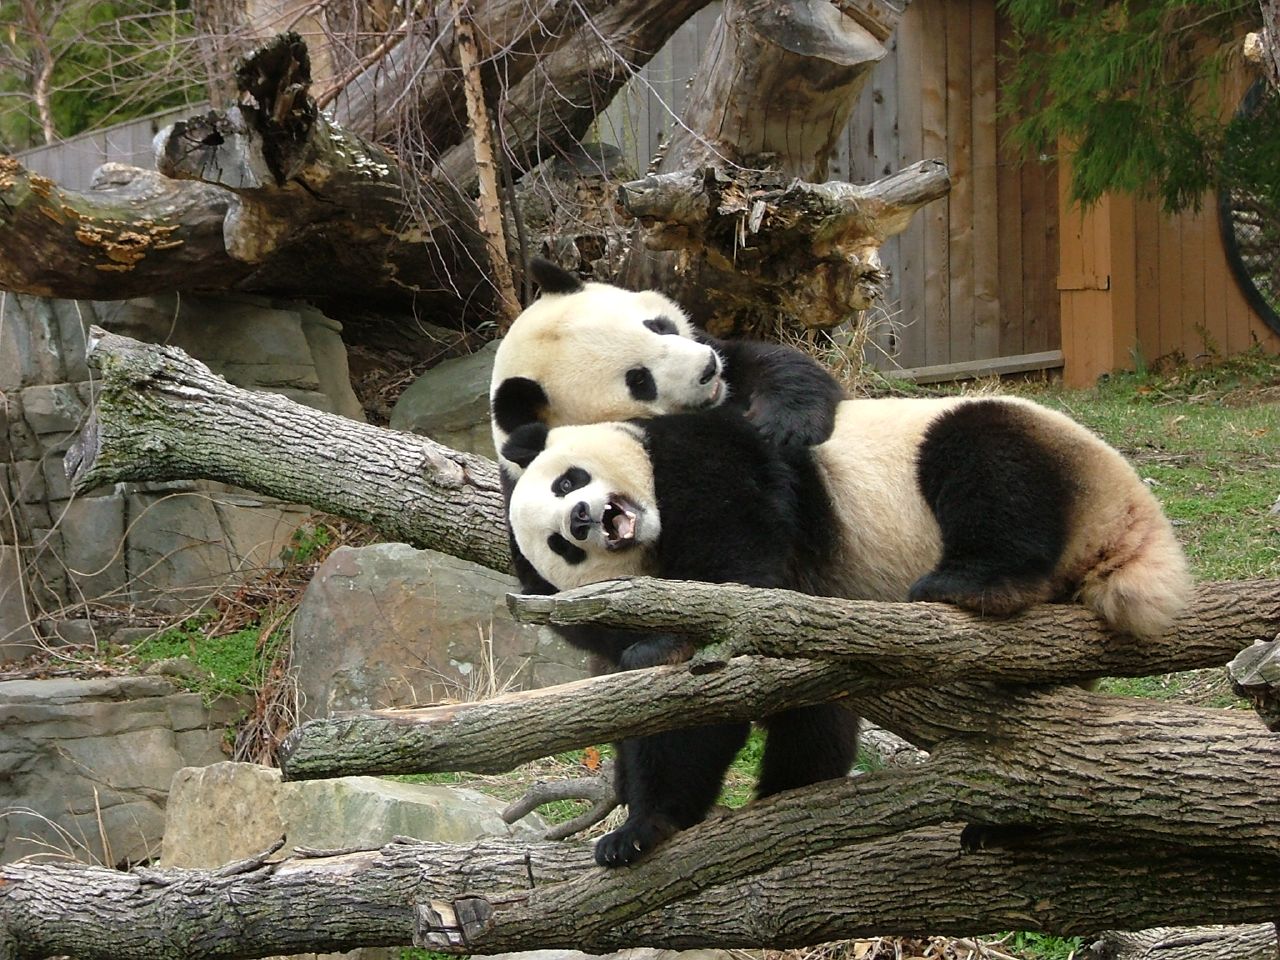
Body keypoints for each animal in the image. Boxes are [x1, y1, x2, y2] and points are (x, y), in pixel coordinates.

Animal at [488, 261, 860, 870]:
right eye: (638, 379)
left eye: (658, 325)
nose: (706, 370)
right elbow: (589, 620)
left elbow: (777, 366)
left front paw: (785, 421)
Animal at [499, 394, 1187, 860]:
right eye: (563, 546)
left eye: (568, 480)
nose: (585, 517)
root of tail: (1131, 518)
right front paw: (643, 822)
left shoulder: (704, 464)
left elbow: (731, 598)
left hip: (1045, 458)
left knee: (985, 458)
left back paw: (974, 583)